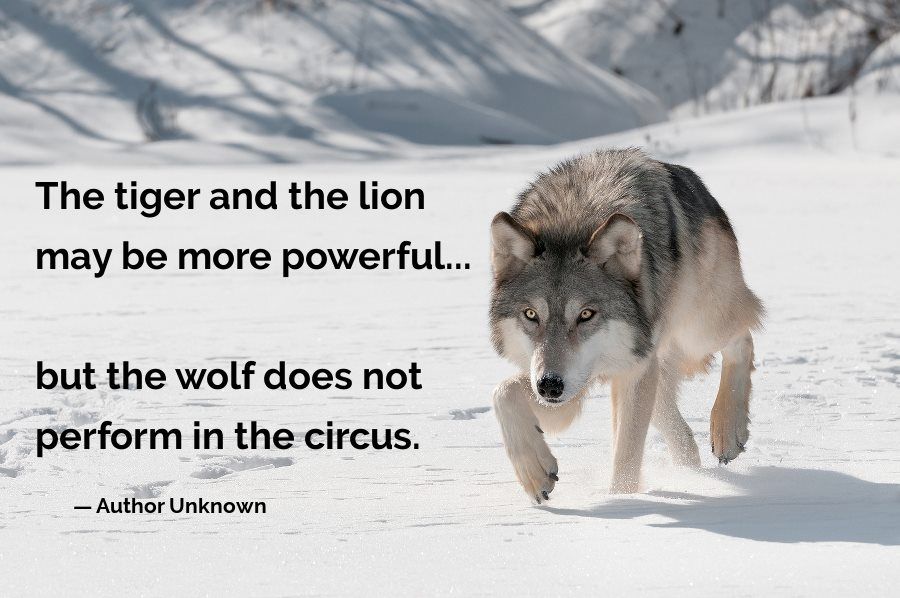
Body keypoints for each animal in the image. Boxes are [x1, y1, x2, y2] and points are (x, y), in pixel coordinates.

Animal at [489, 148, 763, 501]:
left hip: (697, 331)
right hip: (649, 365)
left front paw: (623, 501)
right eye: (531, 315)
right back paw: (691, 471)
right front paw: (535, 473)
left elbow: (627, 454)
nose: (549, 385)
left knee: (743, 337)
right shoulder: (568, 387)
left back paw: (727, 432)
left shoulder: (627, 370)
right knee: (677, 427)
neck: (572, 220)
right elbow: (503, 392)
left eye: (586, 314)